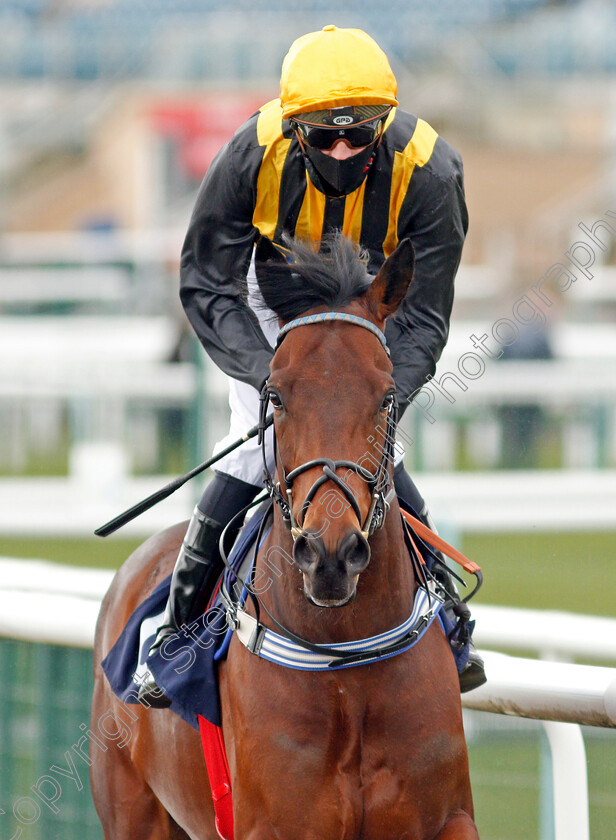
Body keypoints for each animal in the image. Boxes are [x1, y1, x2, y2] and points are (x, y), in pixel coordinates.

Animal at [89, 231, 478, 840]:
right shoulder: (275, 825)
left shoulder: (448, 817)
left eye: (387, 395)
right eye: (276, 395)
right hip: (133, 810)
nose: (330, 555)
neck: (344, 664)